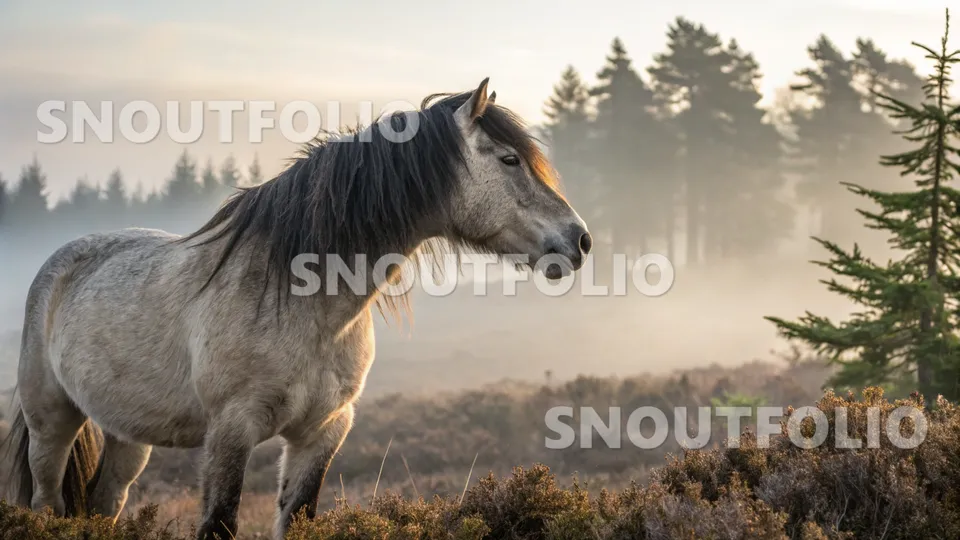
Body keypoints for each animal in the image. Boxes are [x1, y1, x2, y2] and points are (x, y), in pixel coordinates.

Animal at [2, 78, 592, 539]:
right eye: (510, 160)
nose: (579, 240)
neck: (306, 302)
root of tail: (59, 263)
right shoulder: (231, 430)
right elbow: (219, 522)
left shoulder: (324, 430)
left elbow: (298, 518)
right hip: (51, 423)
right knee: (48, 504)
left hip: (128, 434)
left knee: (104, 504)